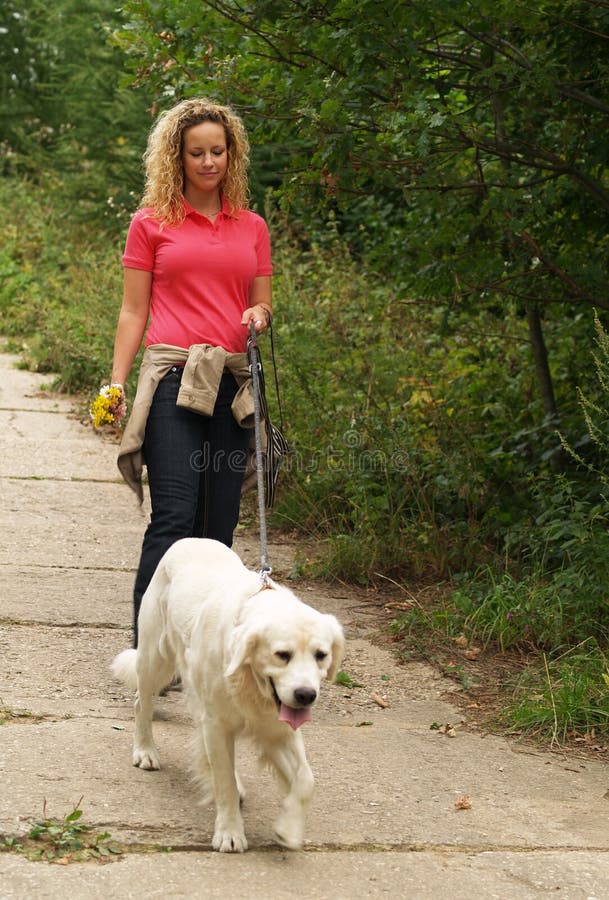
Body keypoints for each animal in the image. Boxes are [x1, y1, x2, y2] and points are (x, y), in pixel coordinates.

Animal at [111, 536, 344, 856]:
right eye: (282, 655)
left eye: (321, 655)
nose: (306, 695)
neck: (249, 680)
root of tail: (191, 538)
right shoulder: (219, 725)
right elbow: (225, 786)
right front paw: (230, 833)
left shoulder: (275, 728)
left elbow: (306, 781)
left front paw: (289, 828)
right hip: (154, 660)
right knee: (142, 705)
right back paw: (145, 751)